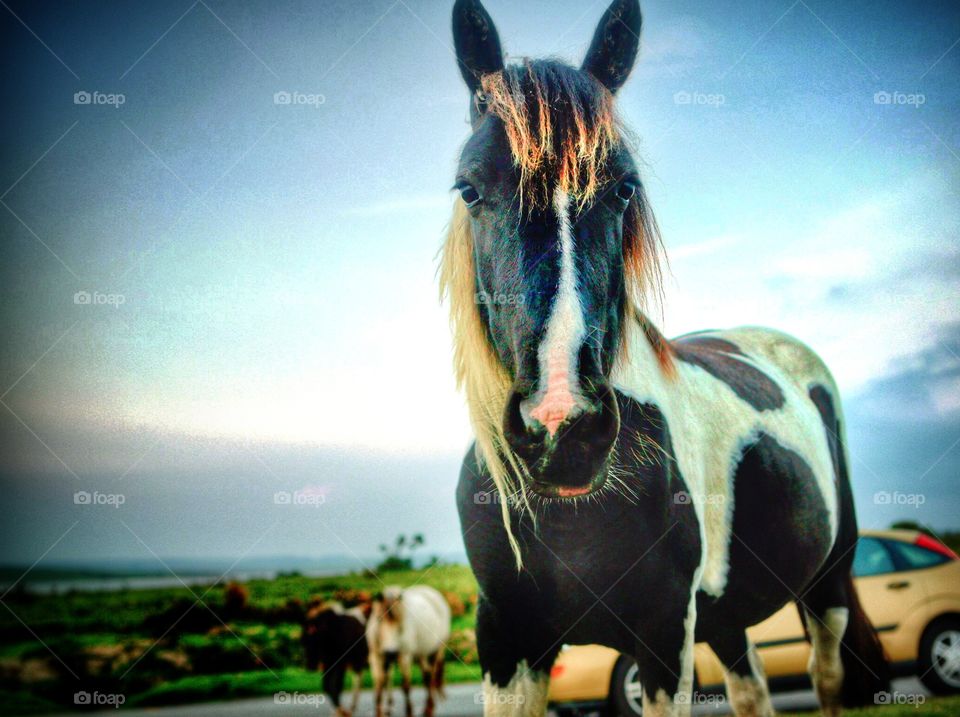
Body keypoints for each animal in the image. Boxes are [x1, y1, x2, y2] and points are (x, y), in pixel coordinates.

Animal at [366, 586, 451, 717]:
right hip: (421, 654)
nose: (390, 653)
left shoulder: (404, 657)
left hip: (436, 651)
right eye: (379, 620)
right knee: (426, 675)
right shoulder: (376, 658)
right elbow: (379, 686)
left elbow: (406, 686)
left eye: (400, 626)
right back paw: (427, 709)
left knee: (431, 676)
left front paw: (409, 712)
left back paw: (429, 709)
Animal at [441, 1, 891, 716]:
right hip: (727, 620)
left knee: (825, 677)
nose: (561, 426)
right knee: (751, 687)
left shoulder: (662, 635)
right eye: (469, 189)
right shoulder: (506, 637)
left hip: (828, 586)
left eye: (625, 189)